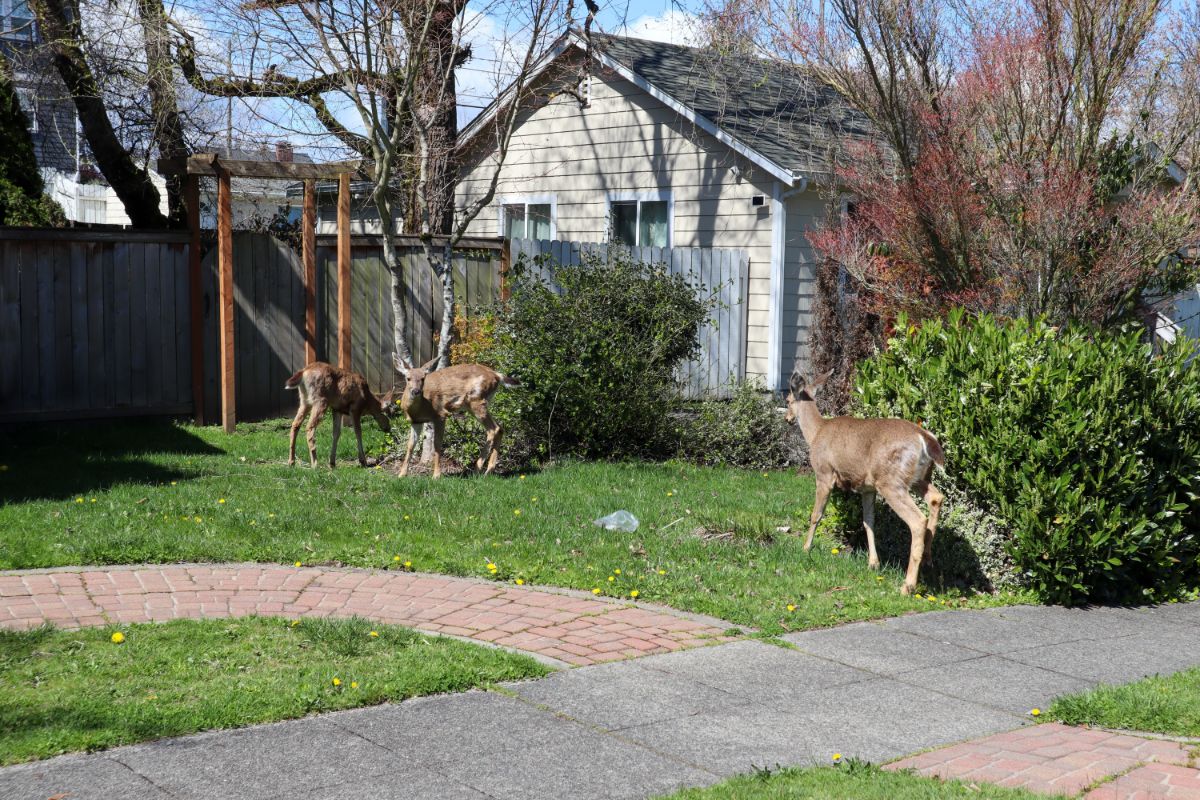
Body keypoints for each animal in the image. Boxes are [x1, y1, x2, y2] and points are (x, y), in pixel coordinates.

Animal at [384, 357, 516, 482]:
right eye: (408, 378)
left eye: (423, 378)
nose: (416, 391)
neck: (422, 407)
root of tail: (497, 375)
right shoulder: (415, 421)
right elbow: (410, 445)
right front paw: (401, 475)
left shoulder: (440, 415)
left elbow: (437, 443)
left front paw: (436, 475)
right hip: (476, 405)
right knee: (500, 428)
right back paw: (489, 471)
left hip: (477, 400)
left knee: (493, 429)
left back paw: (478, 470)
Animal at [787, 371, 945, 594]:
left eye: (788, 400)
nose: (787, 418)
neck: (817, 432)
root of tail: (924, 436)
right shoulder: (867, 488)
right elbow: (868, 521)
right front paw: (873, 563)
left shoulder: (824, 473)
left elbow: (816, 515)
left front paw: (805, 548)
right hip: (918, 477)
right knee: (936, 497)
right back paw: (928, 561)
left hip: (890, 481)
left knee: (918, 520)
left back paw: (907, 585)